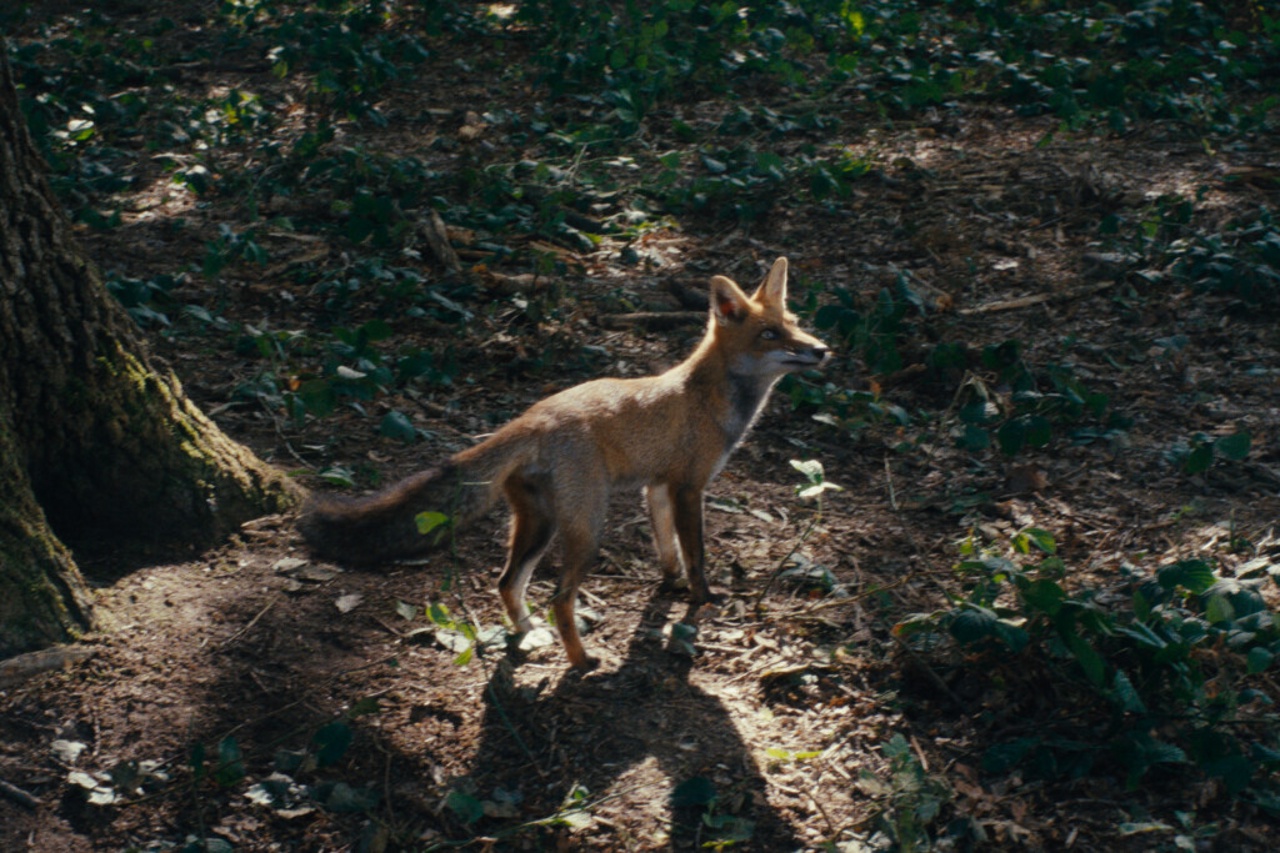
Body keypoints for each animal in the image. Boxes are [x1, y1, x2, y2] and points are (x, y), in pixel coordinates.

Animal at [299, 257, 830, 670]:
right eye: (769, 334)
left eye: (795, 321)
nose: (822, 349)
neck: (706, 397)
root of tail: (533, 415)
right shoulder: (688, 488)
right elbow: (697, 555)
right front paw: (701, 601)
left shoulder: (657, 488)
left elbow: (668, 552)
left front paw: (670, 585)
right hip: (587, 527)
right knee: (559, 597)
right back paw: (580, 662)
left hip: (542, 523)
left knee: (507, 582)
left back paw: (528, 635)